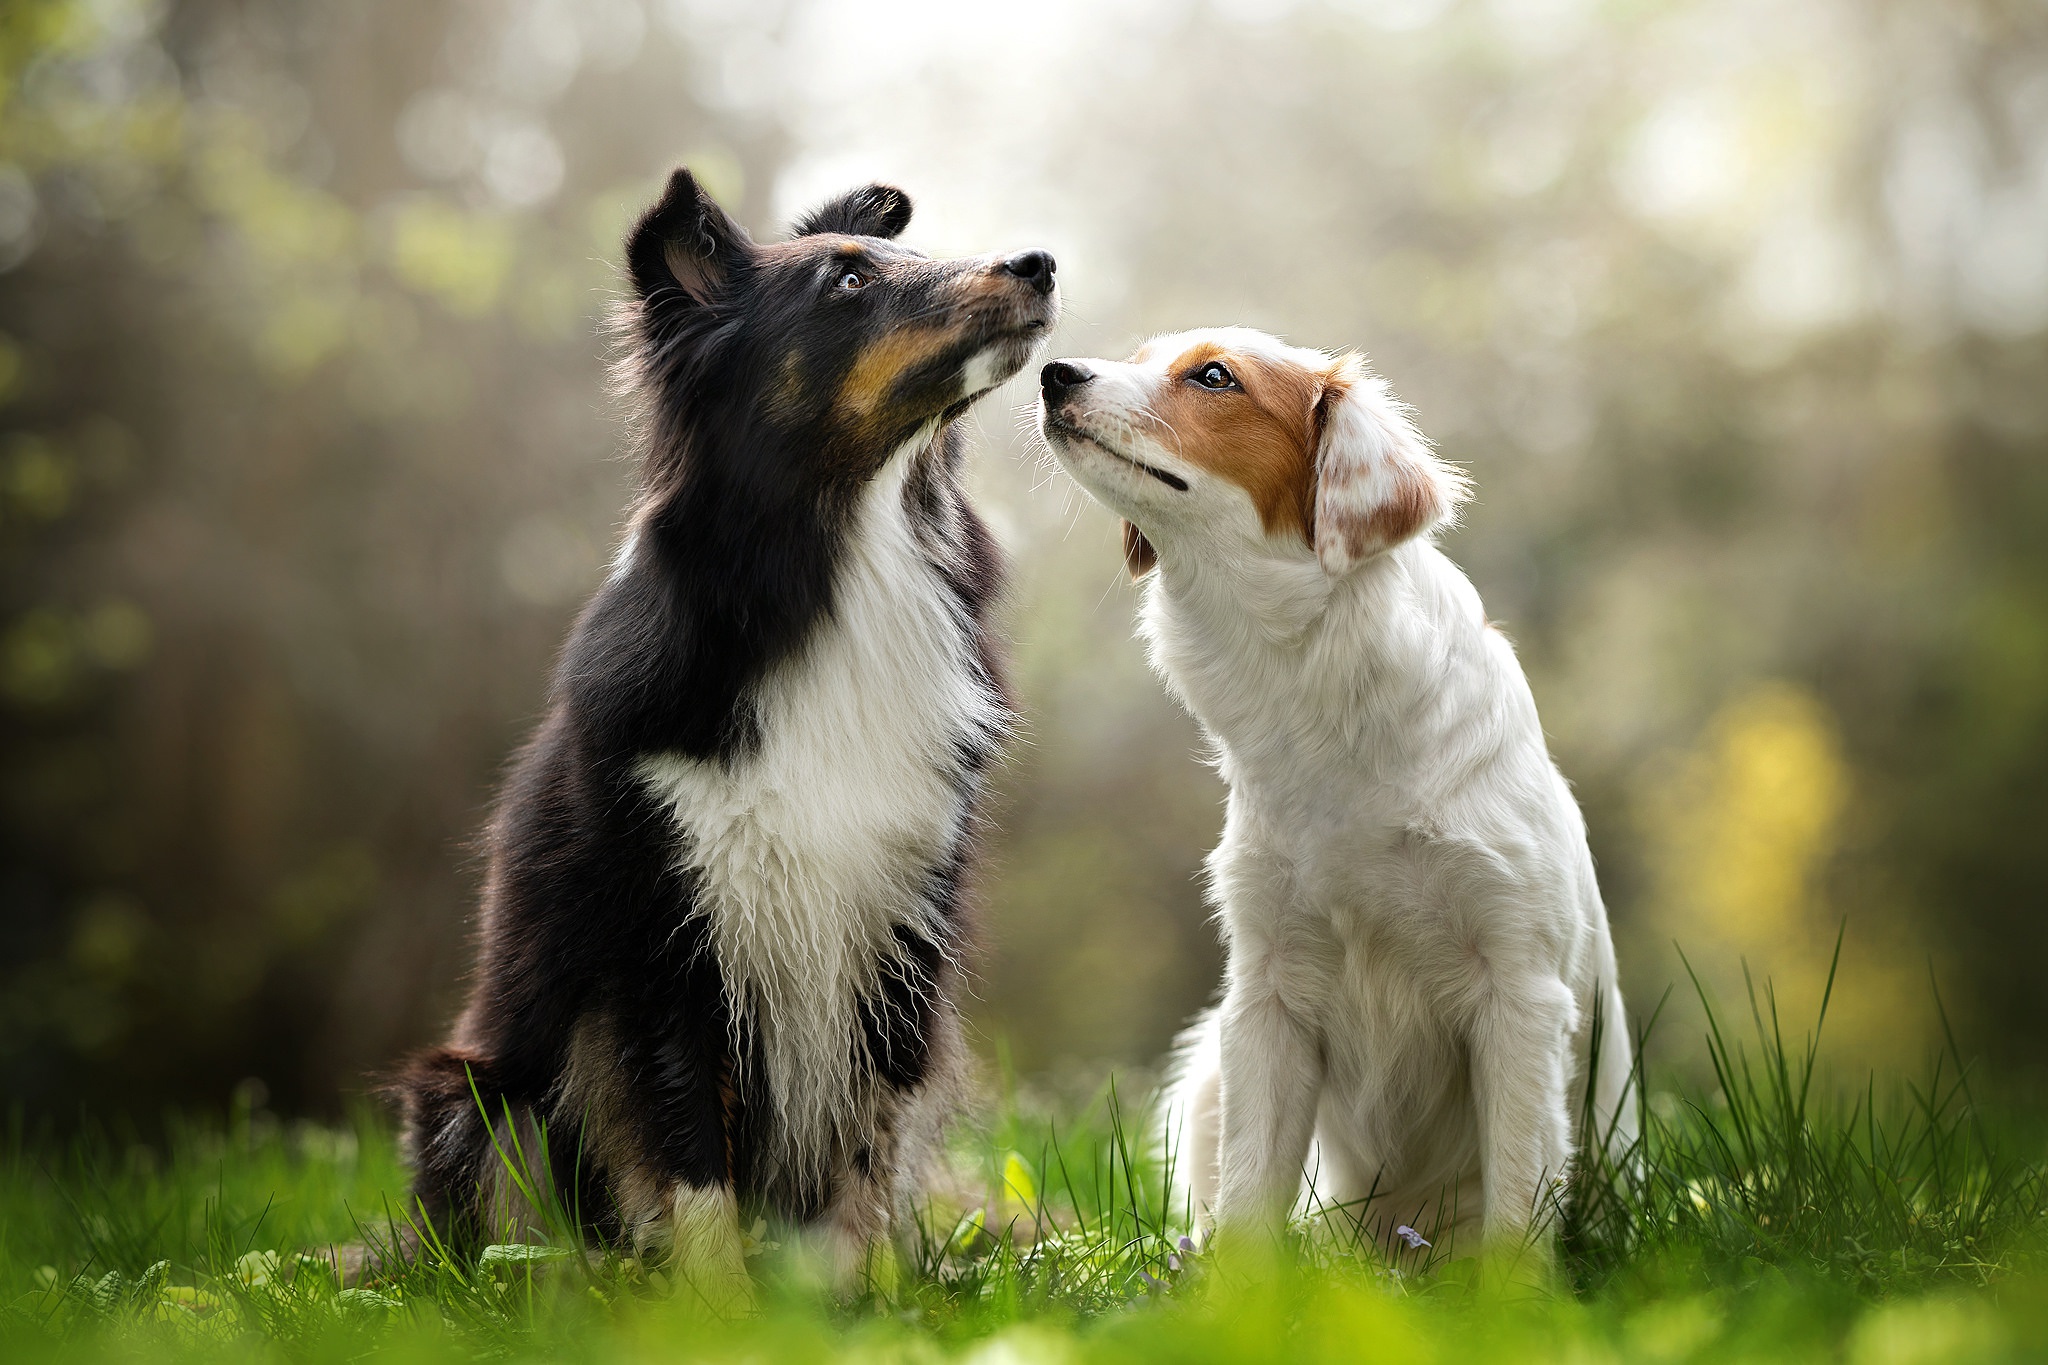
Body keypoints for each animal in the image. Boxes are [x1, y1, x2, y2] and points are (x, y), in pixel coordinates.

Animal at [395, 165, 1056, 1301]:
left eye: (899, 257)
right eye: (846, 281)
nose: (1040, 263)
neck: (843, 553)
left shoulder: (899, 928)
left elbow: (866, 1153)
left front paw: (868, 1302)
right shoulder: (663, 937)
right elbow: (690, 1154)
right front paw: (720, 1312)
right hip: (484, 1094)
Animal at [1040, 327, 1630, 1252]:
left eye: (1215, 376)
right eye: (1138, 355)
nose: (1052, 374)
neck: (1321, 693)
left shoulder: (1519, 991)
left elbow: (1515, 1203)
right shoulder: (1269, 995)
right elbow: (1250, 1200)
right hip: (1209, 1071)